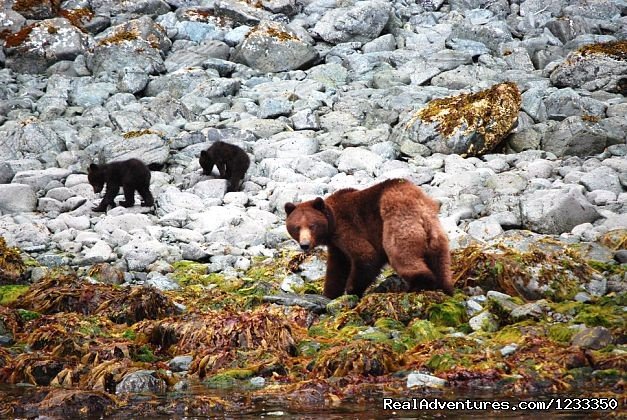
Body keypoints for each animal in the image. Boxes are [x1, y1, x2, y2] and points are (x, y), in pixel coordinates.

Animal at [286, 179, 456, 300]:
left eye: (312, 225)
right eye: (296, 227)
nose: (305, 245)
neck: (332, 226)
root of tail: (421, 210)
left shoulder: (348, 229)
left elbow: (366, 256)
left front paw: (352, 290)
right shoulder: (337, 246)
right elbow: (337, 268)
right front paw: (330, 293)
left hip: (397, 224)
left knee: (402, 255)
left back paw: (419, 285)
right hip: (437, 234)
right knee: (441, 263)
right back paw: (446, 288)